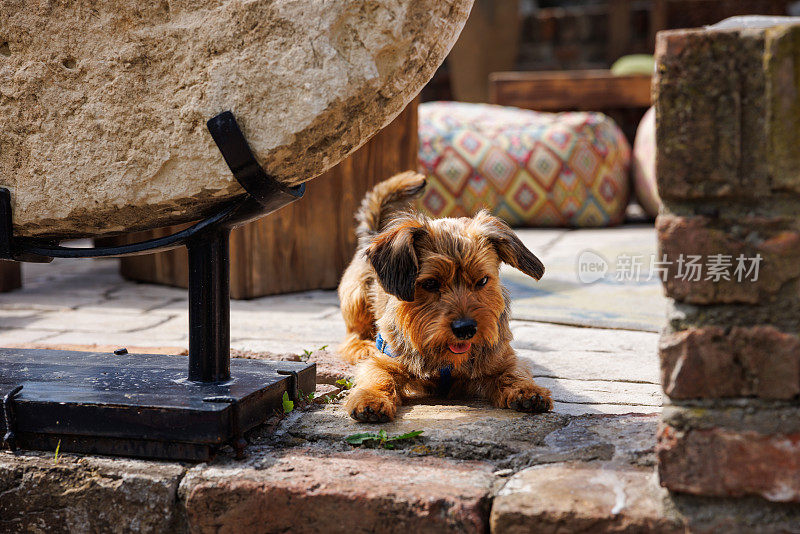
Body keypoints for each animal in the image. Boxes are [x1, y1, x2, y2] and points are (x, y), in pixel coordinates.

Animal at [336, 172, 552, 422]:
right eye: (430, 283)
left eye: (482, 281)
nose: (466, 329)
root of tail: (373, 234)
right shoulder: (387, 358)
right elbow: (377, 376)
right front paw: (371, 398)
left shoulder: (502, 358)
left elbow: (514, 372)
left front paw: (528, 390)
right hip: (356, 297)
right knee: (351, 336)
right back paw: (363, 346)